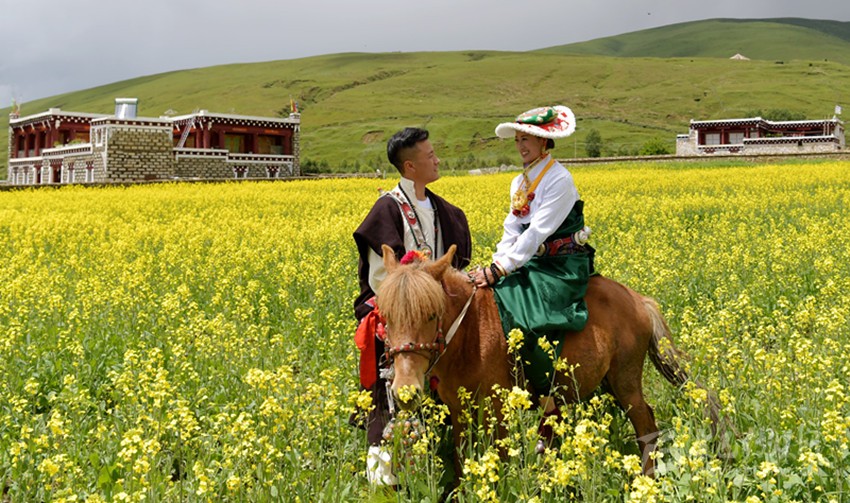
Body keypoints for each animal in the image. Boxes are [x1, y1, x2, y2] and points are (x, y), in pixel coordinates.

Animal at [376, 243, 720, 476]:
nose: (404, 392)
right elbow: (462, 461)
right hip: (609, 383)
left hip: (626, 381)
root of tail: (638, 300)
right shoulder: (459, 409)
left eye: (431, 314)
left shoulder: (499, 408)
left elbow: (501, 457)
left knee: (645, 424)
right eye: (385, 316)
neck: (470, 332)